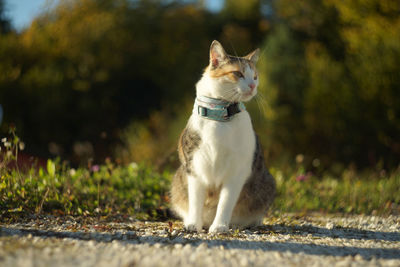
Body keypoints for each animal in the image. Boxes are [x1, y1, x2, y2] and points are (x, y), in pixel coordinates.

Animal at [170, 40, 276, 234]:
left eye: (255, 77)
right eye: (238, 73)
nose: (253, 86)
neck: (219, 115)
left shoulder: (237, 172)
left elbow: (226, 203)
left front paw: (219, 226)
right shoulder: (194, 168)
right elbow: (195, 200)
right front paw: (193, 224)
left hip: (268, 182)